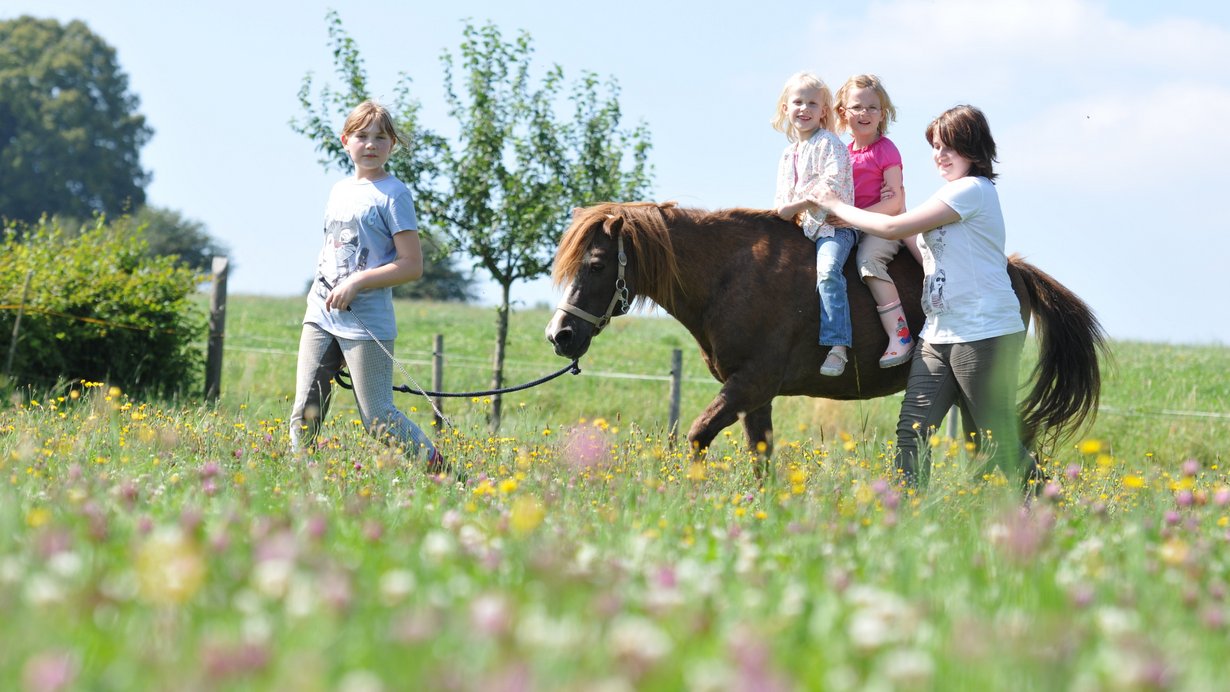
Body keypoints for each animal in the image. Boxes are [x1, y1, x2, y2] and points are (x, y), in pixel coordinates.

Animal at [545, 201, 1105, 470]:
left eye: (596, 264)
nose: (560, 335)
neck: (731, 274)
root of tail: (1015, 269)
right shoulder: (754, 395)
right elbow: (760, 457)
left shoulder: (750, 384)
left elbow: (697, 435)